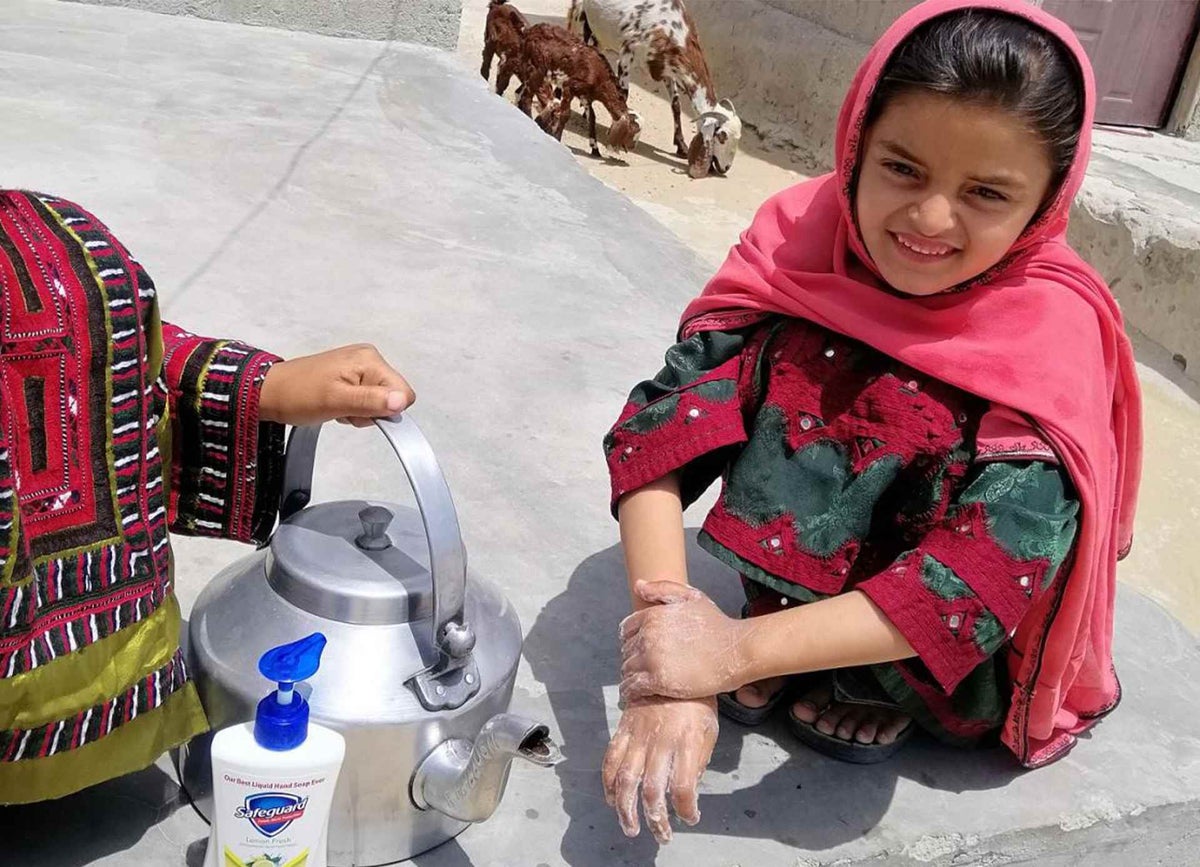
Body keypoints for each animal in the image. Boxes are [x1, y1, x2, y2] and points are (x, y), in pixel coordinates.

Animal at [518, 24, 643, 157]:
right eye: (632, 131)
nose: (633, 147)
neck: (599, 76)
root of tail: (530, 31)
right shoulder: (570, 87)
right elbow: (565, 114)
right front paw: (556, 137)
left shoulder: (585, 96)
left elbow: (592, 118)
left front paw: (595, 150)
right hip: (538, 69)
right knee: (527, 97)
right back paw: (529, 117)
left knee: (523, 92)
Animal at [564, 0, 739, 177]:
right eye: (722, 136)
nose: (725, 168)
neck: (671, 27)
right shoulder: (627, 52)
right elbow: (624, 95)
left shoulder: (667, 68)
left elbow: (676, 105)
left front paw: (681, 146)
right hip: (579, 15)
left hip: (595, 32)